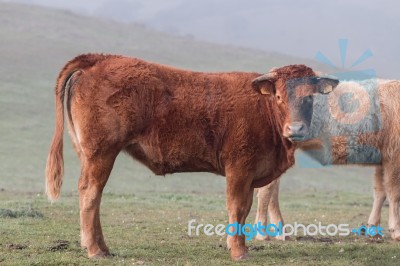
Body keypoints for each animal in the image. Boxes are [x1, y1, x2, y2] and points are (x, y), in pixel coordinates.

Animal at [45, 54, 336, 260]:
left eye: (310, 97)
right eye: (278, 96)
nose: (295, 129)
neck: (265, 112)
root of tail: (101, 59)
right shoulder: (239, 168)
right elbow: (238, 207)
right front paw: (239, 251)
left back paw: (103, 248)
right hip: (101, 152)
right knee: (91, 193)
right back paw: (95, 249)